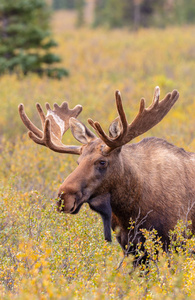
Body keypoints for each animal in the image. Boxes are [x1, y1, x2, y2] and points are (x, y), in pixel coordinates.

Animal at [18, 86, 195, 253]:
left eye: (102, 162)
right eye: (78, 161)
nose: (63, 198)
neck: (131, 209)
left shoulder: (175, 241)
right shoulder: (128, 245)